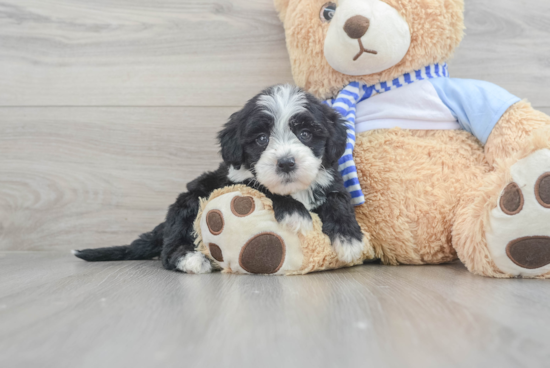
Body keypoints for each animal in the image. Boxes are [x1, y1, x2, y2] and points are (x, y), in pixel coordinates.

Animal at [74, 85, 366, 272]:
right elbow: (260, 187)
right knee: (169, 250)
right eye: (261, 139)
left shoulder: (329, 180)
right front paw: (295, 213)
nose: (285, 162)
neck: (292, 189)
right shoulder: (232, 181)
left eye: (305, 134)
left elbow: (339, 202)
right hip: (190, 202)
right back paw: (191, 260)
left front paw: (350, 239)